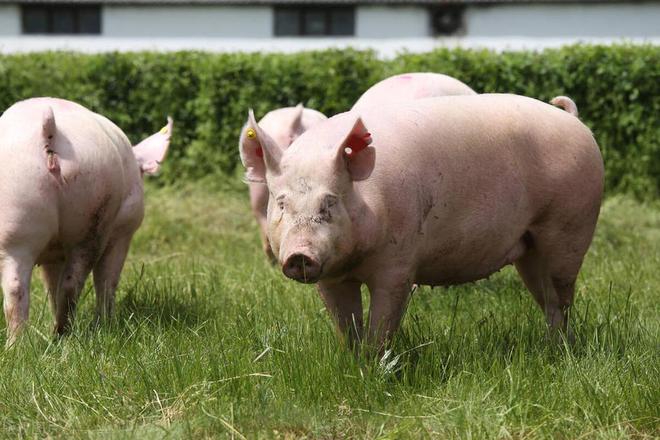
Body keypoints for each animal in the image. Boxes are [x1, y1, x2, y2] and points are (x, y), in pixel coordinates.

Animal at [0, 97, 171, 346]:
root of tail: (49, 131)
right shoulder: (123, 233)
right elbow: (108, 279)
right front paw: (108, 323)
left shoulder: (53, 253)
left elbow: (51, 284)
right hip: (95, 211)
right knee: (74, 282)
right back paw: (66, 333)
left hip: (17, 212)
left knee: (17, 287)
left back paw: (20, 346)